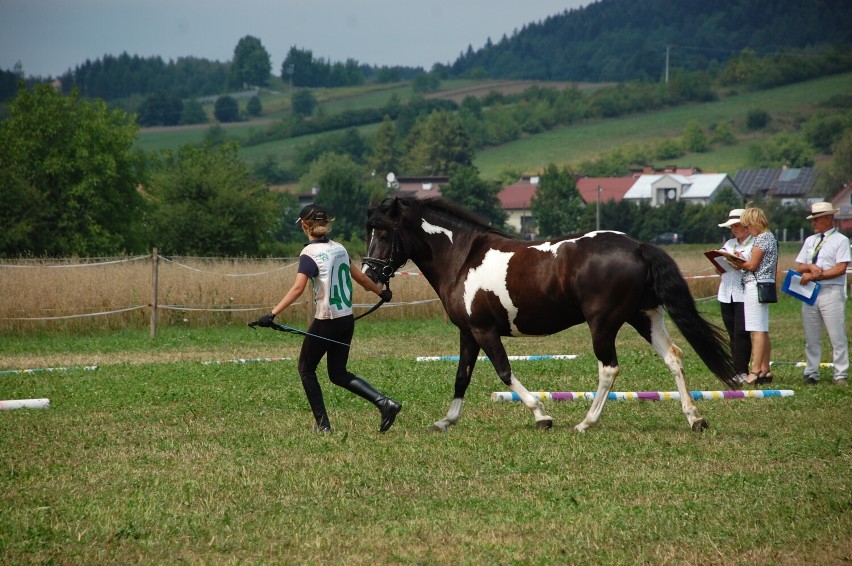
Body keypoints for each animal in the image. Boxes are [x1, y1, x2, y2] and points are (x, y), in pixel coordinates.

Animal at [362, 197, 736, 432]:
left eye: (385, 233)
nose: (370, 274)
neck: (462, 258)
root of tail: (638, 247)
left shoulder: (484, 331)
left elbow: (504, 372)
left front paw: (541, 415)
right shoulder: (468, 332)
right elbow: (462, 376)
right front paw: (446, 420)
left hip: (603, 324)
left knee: (608, 369)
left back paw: (586, 423)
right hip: (644, 316)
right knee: (673, 357)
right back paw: (694, 418)